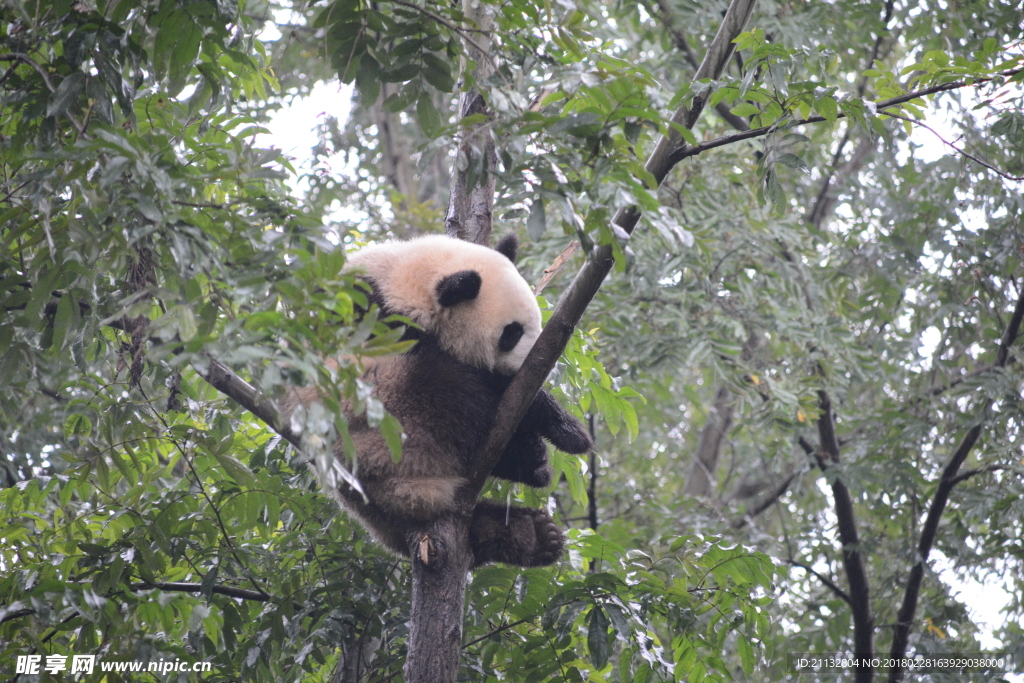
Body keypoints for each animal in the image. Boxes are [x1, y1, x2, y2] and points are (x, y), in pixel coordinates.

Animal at [290, 233, 593, 565]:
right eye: (511, 333)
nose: (541, 363)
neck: (403, 280)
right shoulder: (371, 318)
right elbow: (479, 380)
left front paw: (568, 432)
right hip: (383, 428)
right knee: (450, 395)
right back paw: (527, 461)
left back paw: (530, 533)